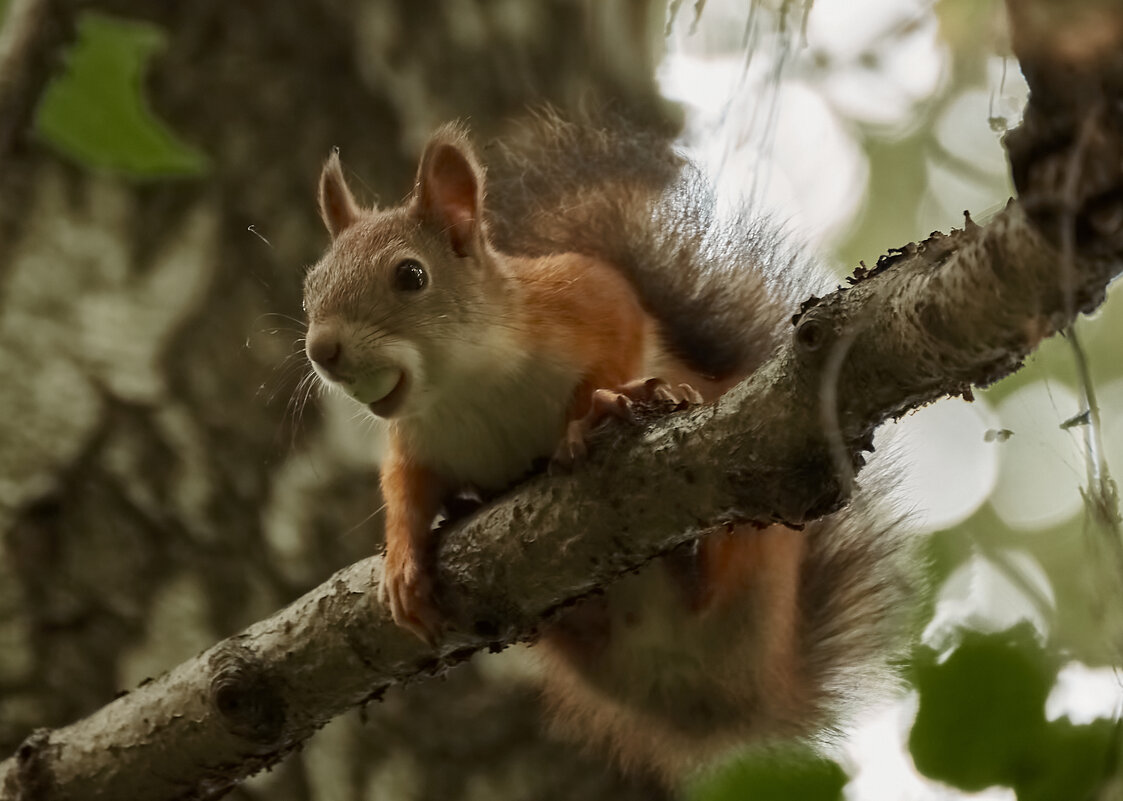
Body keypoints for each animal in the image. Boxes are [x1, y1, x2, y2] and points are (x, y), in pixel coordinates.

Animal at [303, 109, 916, 777]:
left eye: (410, 275)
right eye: (310, 283)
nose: (322, 350)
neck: (463, 388)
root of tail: (735, 691)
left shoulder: (582, 297)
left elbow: (618, 336)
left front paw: (593, 413)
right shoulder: (417, 444)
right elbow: (405, 492)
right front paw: (402, 559)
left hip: (761, 551)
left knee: (719, 570)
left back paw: (692, 541)